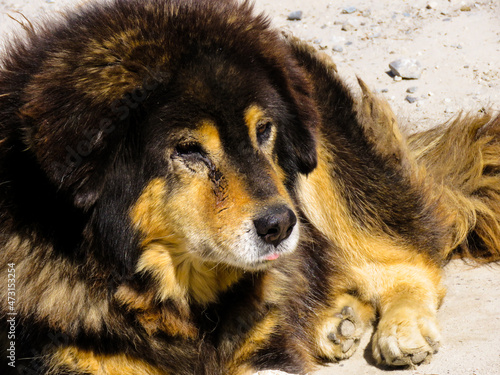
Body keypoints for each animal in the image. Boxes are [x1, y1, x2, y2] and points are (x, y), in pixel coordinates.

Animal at [0, 0, 498, 375]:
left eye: (264, 132)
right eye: (188, 150)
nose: (281, 225)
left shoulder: (264, 347)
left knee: (408, 257)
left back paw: (400, 329)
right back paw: (337, 320)